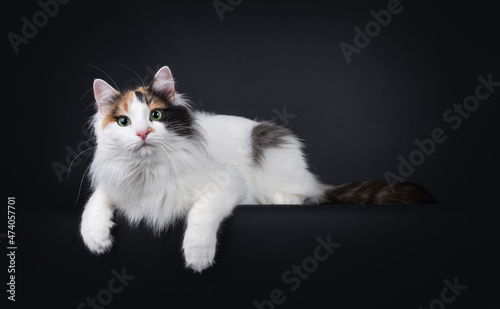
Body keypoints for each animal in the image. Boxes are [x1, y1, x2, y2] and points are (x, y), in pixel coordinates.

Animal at [79, 65, 434, 272]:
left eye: (155, 115)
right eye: (124, 122)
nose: (142, 133)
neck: (150, 170)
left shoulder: (226, 184)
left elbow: (201, 213)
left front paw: (198, 255)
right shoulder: (113, 184)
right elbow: (94, 204)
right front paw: (96, 239)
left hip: (273, 147)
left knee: (306, 194)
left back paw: (281, 199)